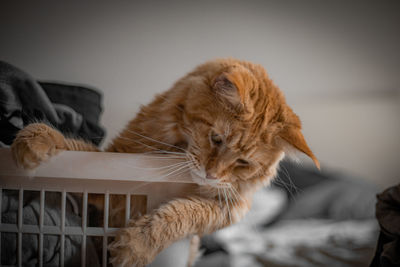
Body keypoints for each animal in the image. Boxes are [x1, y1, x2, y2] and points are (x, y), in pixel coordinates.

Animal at [11, 58, 318, 266]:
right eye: (216, 139)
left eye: (242, 162)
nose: (211, 174)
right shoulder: (112, 169)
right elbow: (75, 146)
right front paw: (36, 138)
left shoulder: (231, 207)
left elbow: (183, 213)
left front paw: (136, 246)